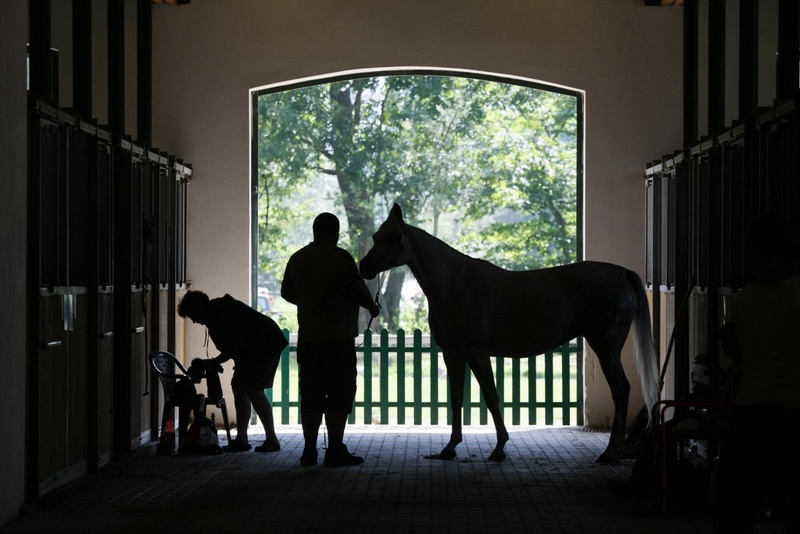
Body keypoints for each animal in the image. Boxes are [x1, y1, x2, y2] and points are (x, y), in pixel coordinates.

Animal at [360, 205, 660, 464]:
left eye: (391, 237)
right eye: (376, 235)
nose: (364, 267)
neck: (455, 285)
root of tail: (623, 273)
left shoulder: (476, 353)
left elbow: (491, 397)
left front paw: (499, 448)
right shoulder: (453, 354)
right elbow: (456, 399)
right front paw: (450, 448)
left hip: (606, 348)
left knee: (621, 390)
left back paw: (610, 452)